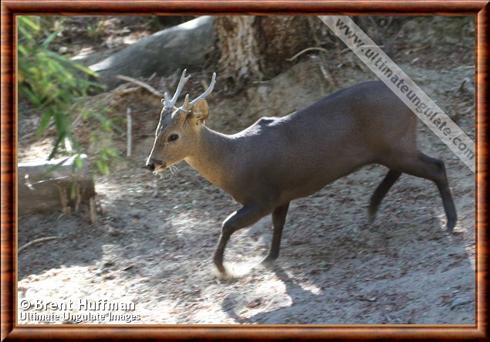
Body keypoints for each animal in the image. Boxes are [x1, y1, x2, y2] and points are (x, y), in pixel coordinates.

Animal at [145, 69, 456, 276]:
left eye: (173, 136)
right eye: (157, 131)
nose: (151, 163)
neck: (234, 161)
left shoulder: (263, 196)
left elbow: (227, 224)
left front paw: (223, 269)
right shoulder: (283, 194)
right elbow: (278, 225)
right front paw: (269, 258)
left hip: (396, 142)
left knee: (437, 165)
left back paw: (451, 222)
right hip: (394, 145)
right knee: (403, 169)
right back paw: (371, 209)